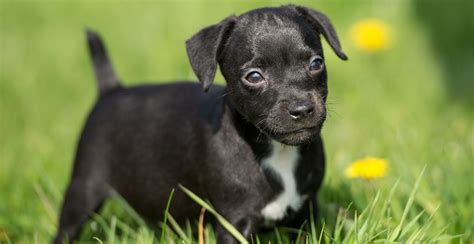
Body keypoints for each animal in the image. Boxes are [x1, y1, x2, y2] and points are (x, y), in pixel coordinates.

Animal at [53, 4, 346, 244]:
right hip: (84, 187)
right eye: (254, 76)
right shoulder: (234, 223)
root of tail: (111, 90)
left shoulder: (306, 212)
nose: (302, 109)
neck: (276, 150)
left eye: (316, 63)